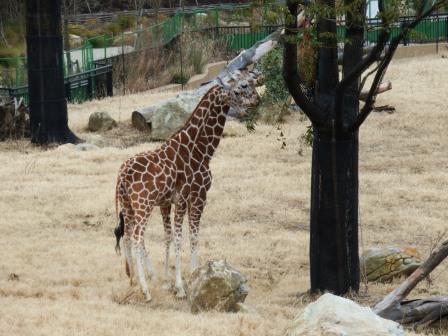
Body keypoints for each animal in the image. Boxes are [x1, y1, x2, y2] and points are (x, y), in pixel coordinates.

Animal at [114, 72, 258, 300]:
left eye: (252, 84)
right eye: (239, 89)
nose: (256, 101)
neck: (200, 151)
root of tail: (122, 175)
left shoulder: (169, 202)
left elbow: (171, 237)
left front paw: (172, 281)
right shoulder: (195, 196)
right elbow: (189, 236)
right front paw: (186, 282)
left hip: (128, 206)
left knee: (128, 236)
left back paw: (134, 281)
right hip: (143, 205)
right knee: (136, 238)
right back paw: (146, 291)